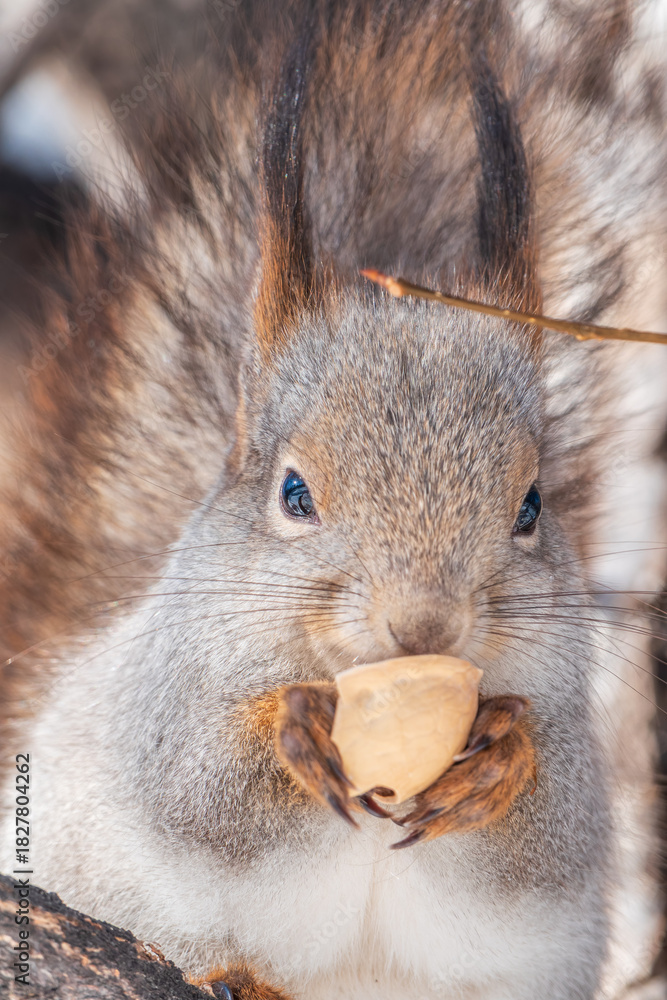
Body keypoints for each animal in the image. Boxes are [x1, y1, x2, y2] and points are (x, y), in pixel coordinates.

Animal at [1, 1, 667, 997]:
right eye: (293, 493)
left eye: (530, 507)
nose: (424, 626)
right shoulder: (156, 700)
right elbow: (196, 781)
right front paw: (294, 724)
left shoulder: (570, 742)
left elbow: (545, 831)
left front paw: (501, 760)